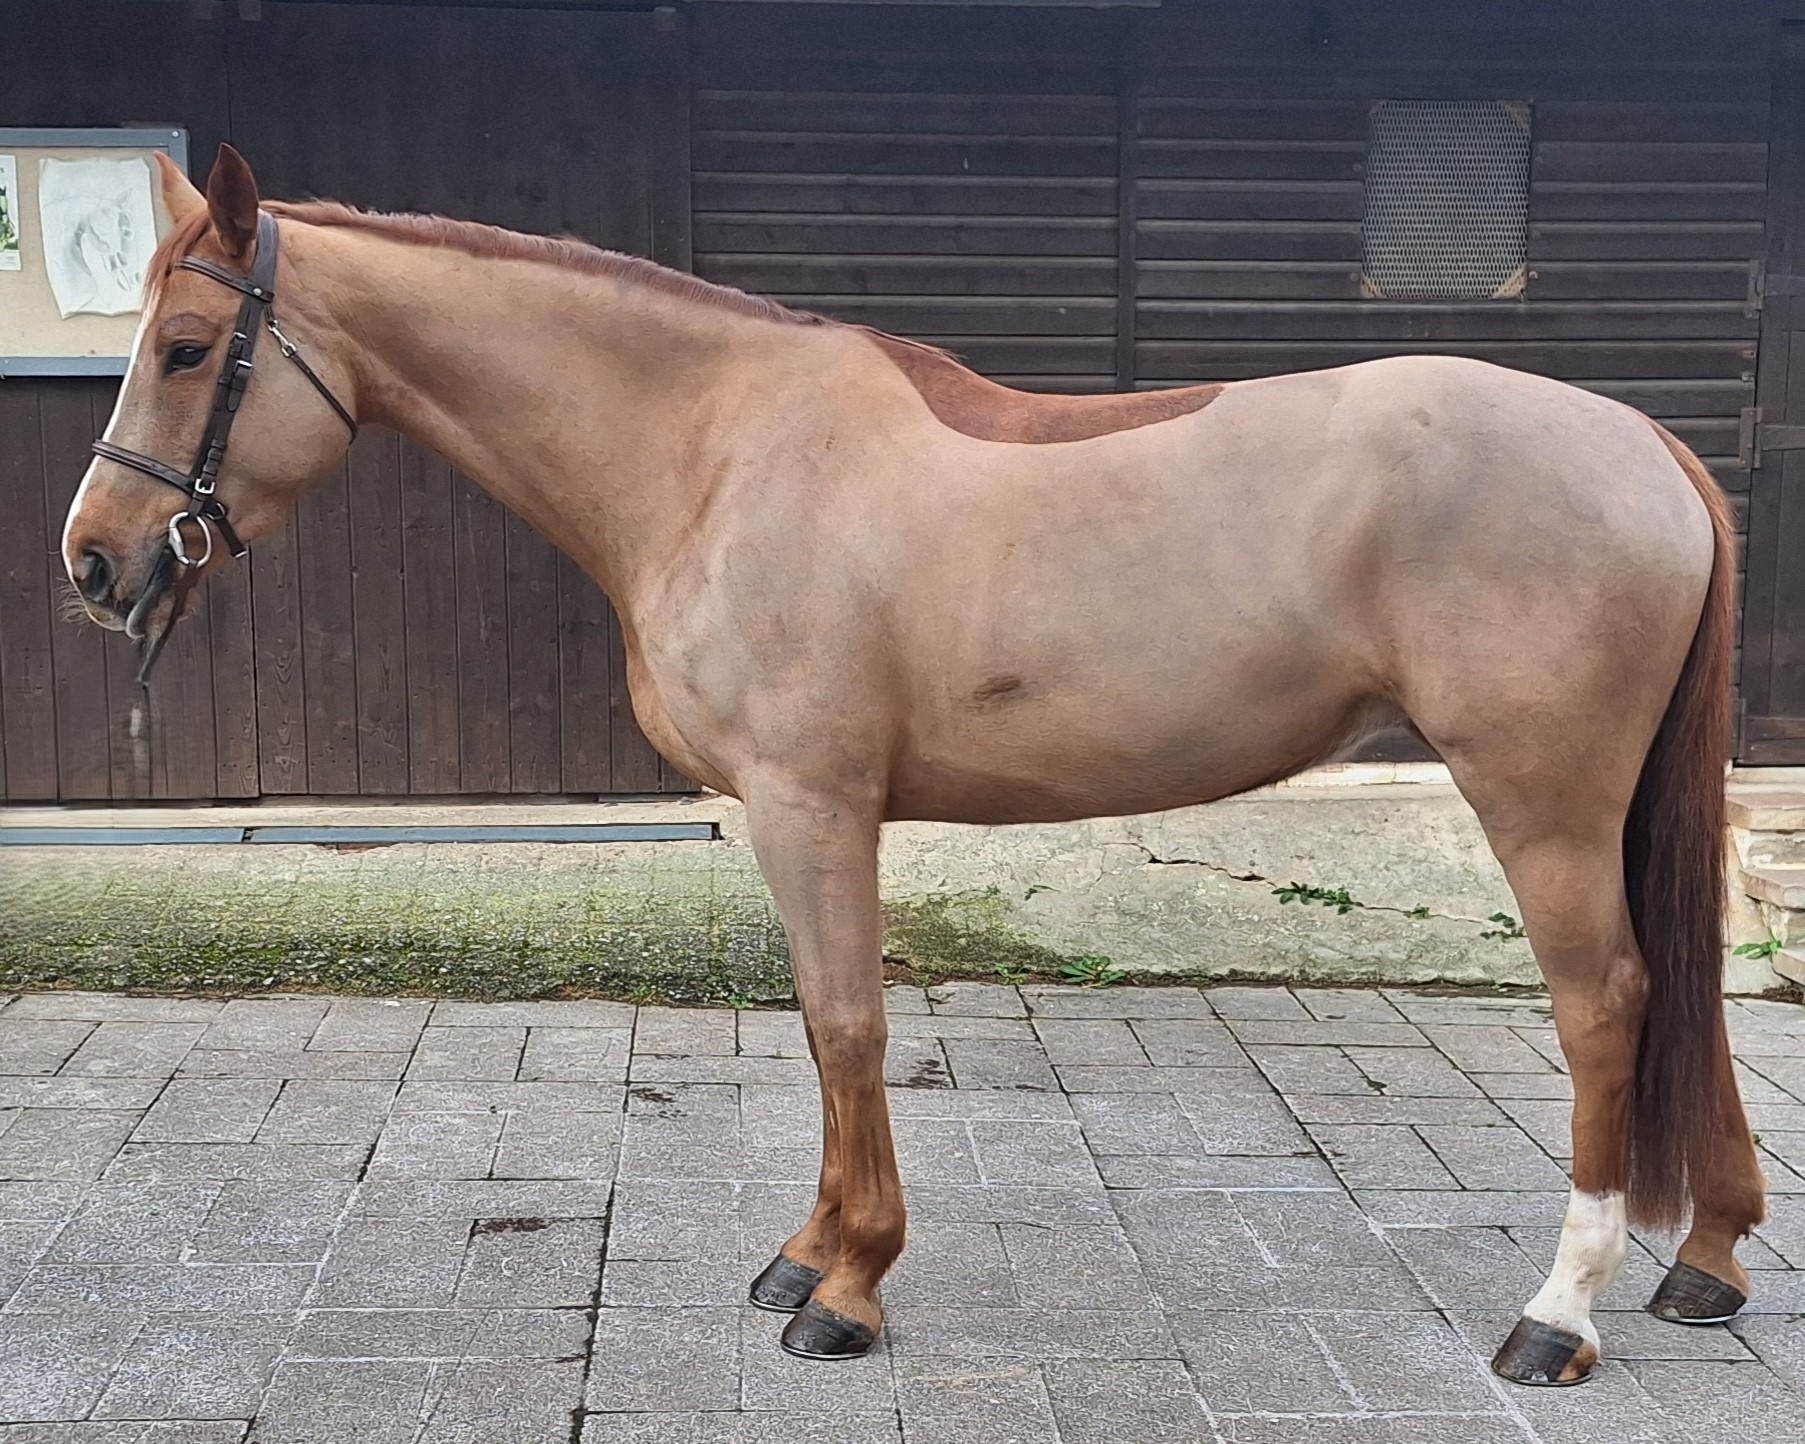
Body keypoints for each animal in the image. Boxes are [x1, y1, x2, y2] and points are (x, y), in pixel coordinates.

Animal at [62, 144, 1765, 1382]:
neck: (715, 452)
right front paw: (805, 1257)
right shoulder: (791, 816)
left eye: (189, 347)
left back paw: (1560, 1314)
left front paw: (850, 1288)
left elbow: (846, 1028)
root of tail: (1641, 442)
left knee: (1609, 1003)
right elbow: (826, 1035)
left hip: (1539, 798)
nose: (90, 562)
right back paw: (1707, 1264)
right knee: (1685, 988)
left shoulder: (813, 806)